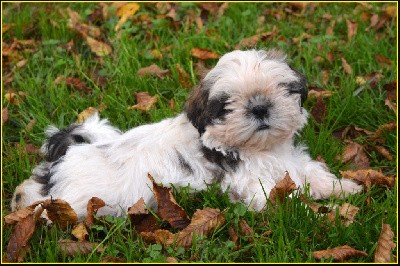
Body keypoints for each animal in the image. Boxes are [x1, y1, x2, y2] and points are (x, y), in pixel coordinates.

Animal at [11, 49, 362, 218]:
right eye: (227, 105)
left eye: (279, 89)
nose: (260, 107)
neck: (259, 149)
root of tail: (64, 156)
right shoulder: (253, 186)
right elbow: (288, 202)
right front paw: (326, 215)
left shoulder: (288, 161)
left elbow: (310, 171)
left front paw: (344, 188)